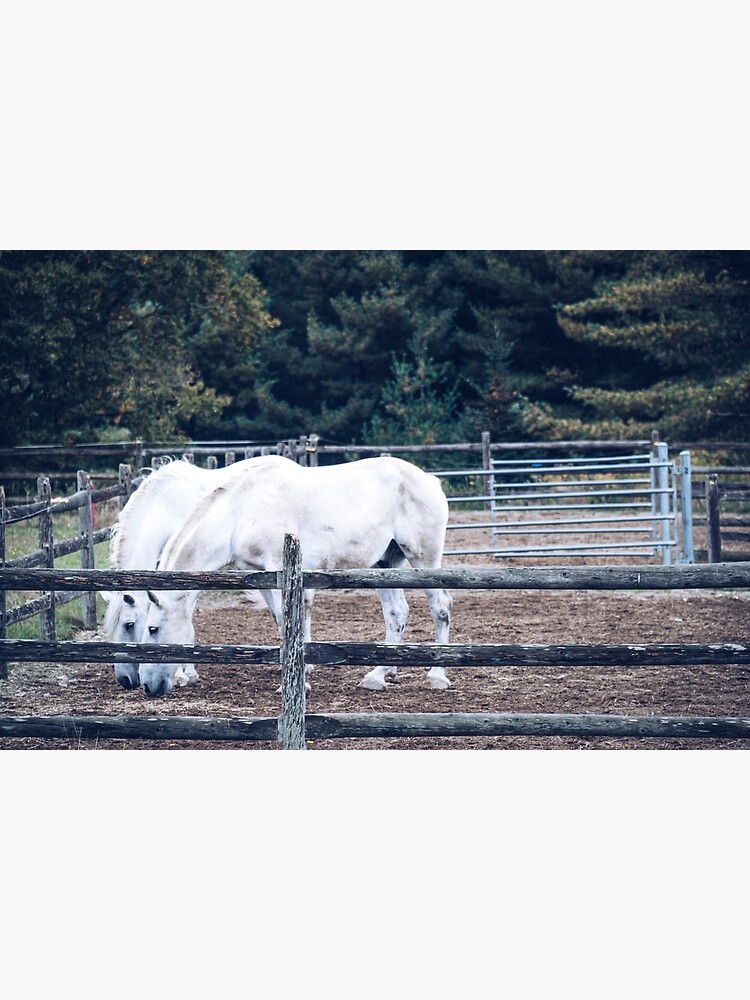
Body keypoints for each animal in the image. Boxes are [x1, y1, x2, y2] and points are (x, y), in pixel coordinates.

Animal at [137, 455, 453, 698]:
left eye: (152, 629)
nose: (147, 686)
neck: (239, 512)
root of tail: (430, 480)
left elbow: (291, 623)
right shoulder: (263, 576)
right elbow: (281, 621)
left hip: (424, 559)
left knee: (440, 608)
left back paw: (436, 676)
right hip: (383, 564)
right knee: (396, 613)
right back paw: (378, 674)